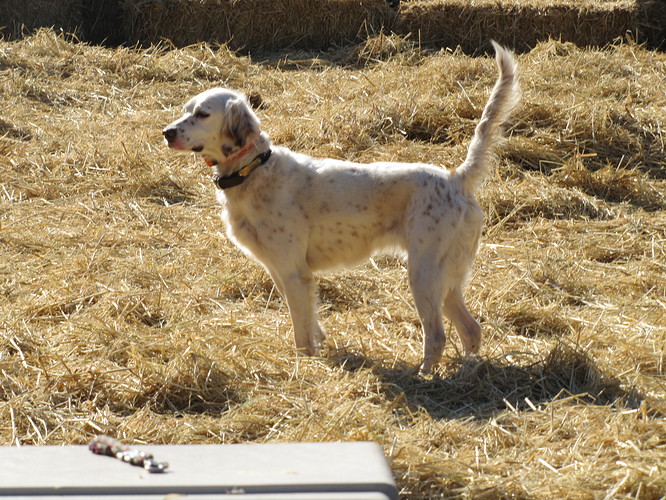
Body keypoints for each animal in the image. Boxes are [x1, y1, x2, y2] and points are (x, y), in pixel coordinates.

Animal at [163, 42, 516, 372]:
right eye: (185, 110)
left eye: (203, 114)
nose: (167, 132)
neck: (254, 169)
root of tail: (456, 179)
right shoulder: (280, 269)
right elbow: (310, 319)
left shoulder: (293, 272)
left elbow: (301, 330)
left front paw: (303, 364)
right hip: (447, 276)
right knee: (471, 329)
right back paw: (470, 370)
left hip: (424, 272)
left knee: (438, 334)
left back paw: (425, 374)